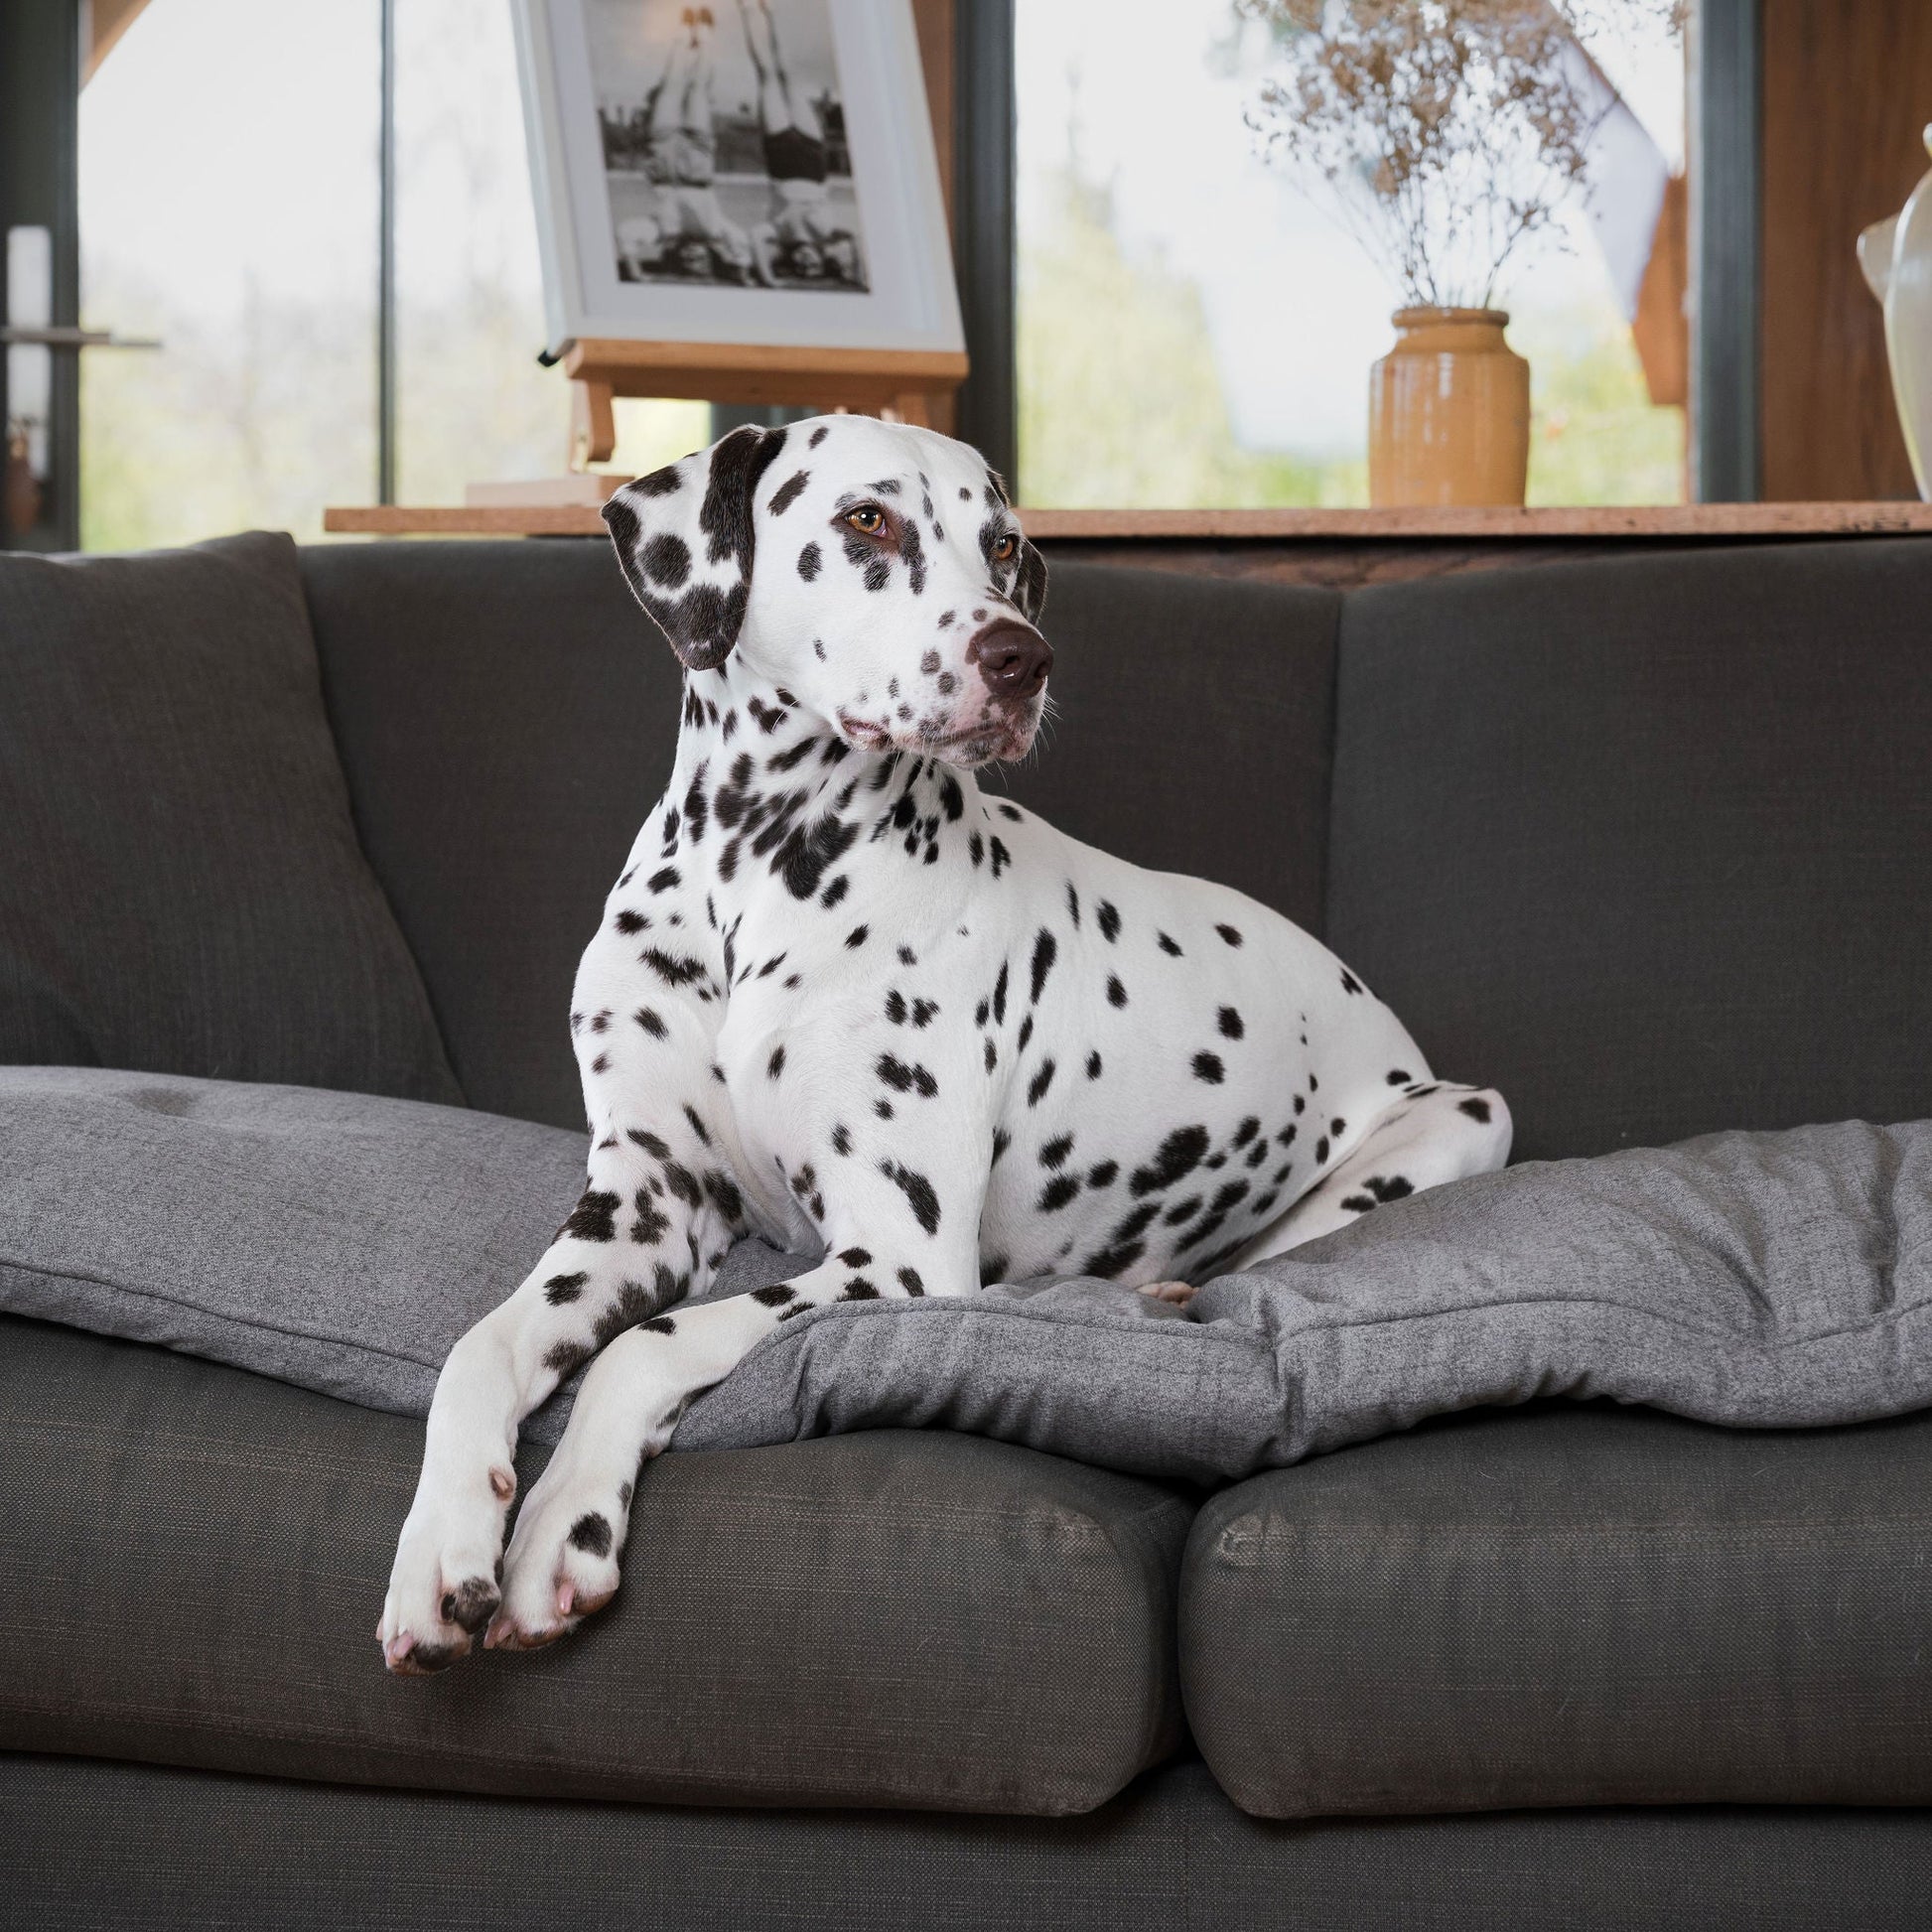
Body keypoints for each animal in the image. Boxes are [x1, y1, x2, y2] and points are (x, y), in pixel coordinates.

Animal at [376, 411, 1506, 1677]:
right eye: (866, 519)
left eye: (1002, 543)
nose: (1022, 659)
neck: (752, 872)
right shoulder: (643, 1204)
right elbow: (481, 1345)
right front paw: (442, 1545)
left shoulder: (896, 1258)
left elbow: (649, 1343)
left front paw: (561, 1523)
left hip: (1461, 1115)